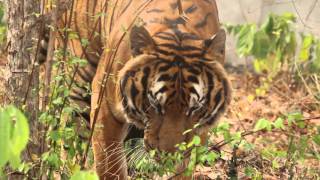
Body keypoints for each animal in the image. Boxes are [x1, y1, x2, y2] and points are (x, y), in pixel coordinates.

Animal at [38, 0, 231, 179]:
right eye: (154, 103)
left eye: (195, 107)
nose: (168, 155)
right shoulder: (106, 107)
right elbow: (110, 165)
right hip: (80, 76)